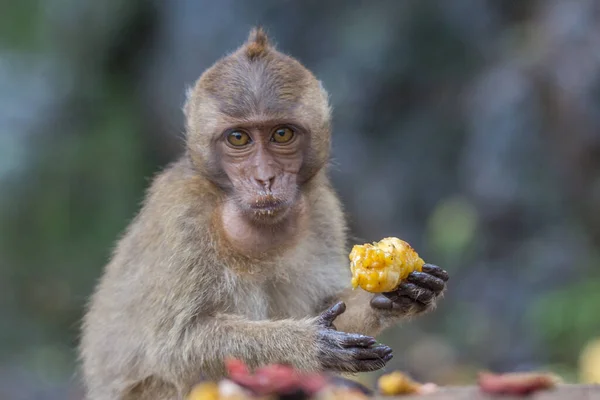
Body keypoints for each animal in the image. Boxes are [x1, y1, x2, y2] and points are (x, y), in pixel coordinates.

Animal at [78, 28, 446, 400]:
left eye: (281, 133)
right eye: (239, 138)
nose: (265, 178)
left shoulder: (322, 207)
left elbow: (328, 301)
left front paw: (399, 295)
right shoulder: (181, 215)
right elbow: (175, 344)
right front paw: (310, 344)